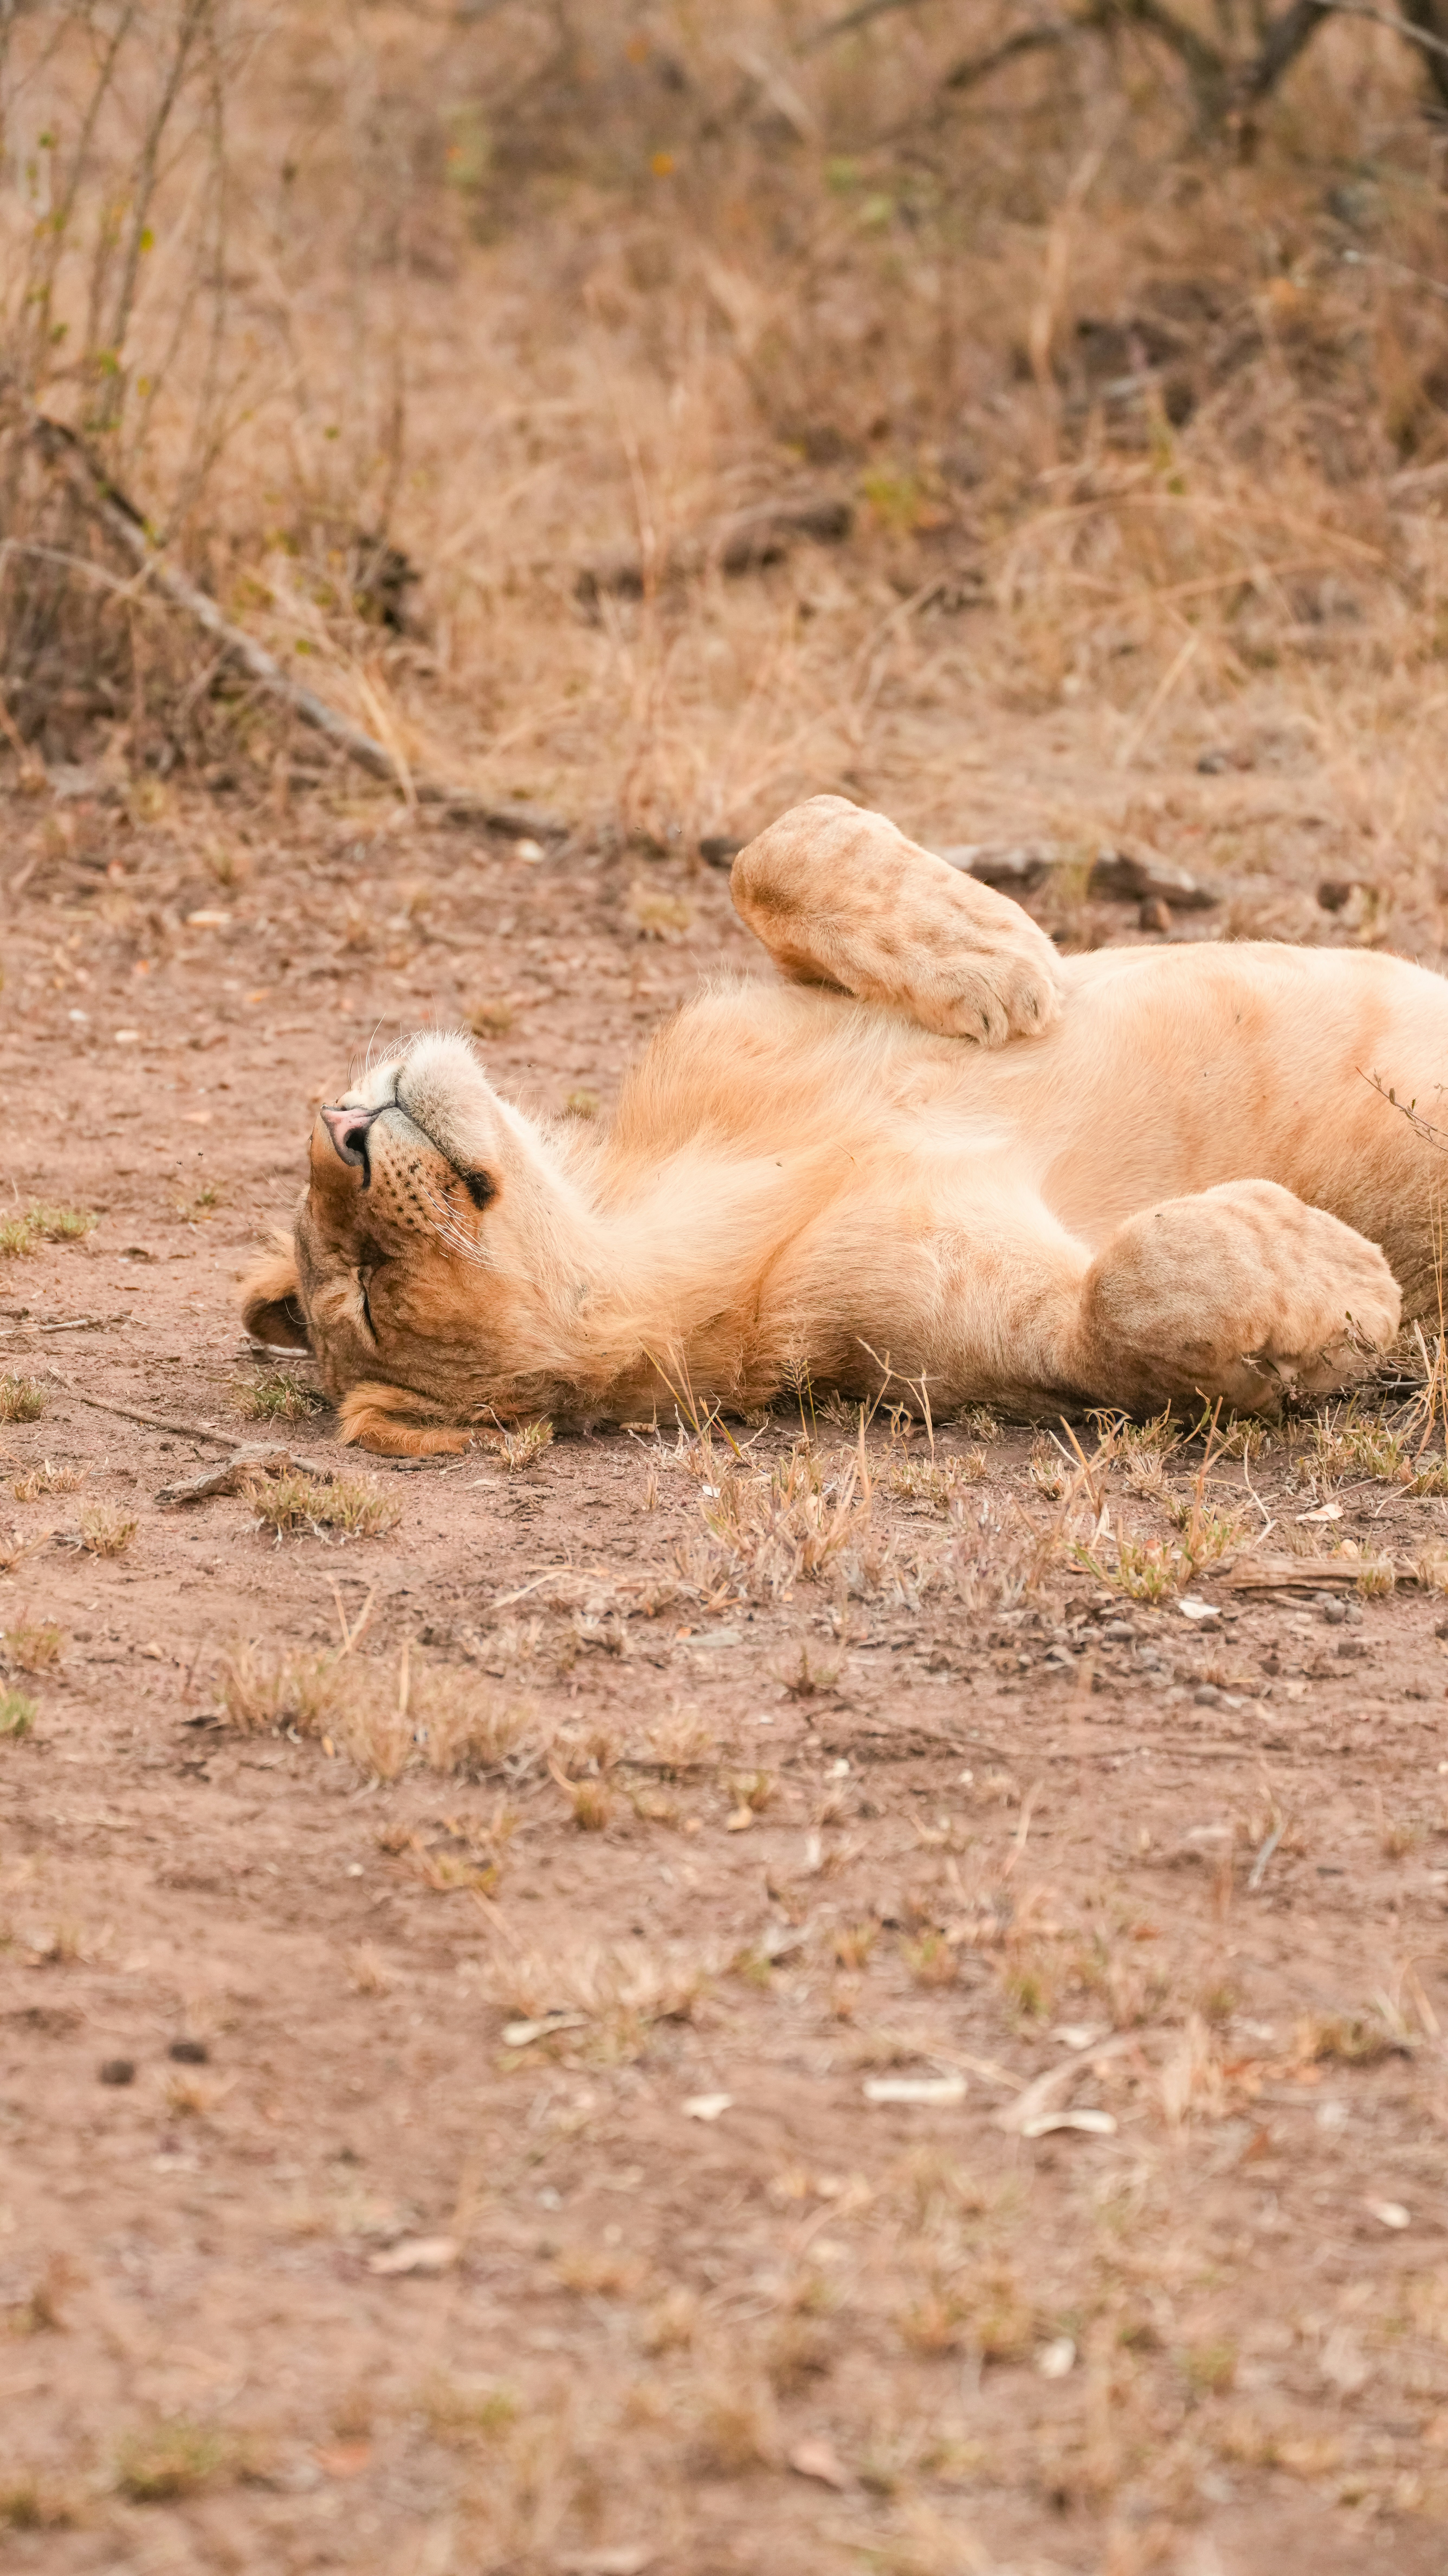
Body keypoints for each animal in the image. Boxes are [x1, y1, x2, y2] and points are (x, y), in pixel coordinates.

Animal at [242, 794, 1447, 1456]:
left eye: (345, 1259)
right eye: (366, 1295)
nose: (339, 1131)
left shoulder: (741, 1014)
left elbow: (777, 847)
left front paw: (998, 959)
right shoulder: (942, 1337)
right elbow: (1123, 1301)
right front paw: (1336, 1274)